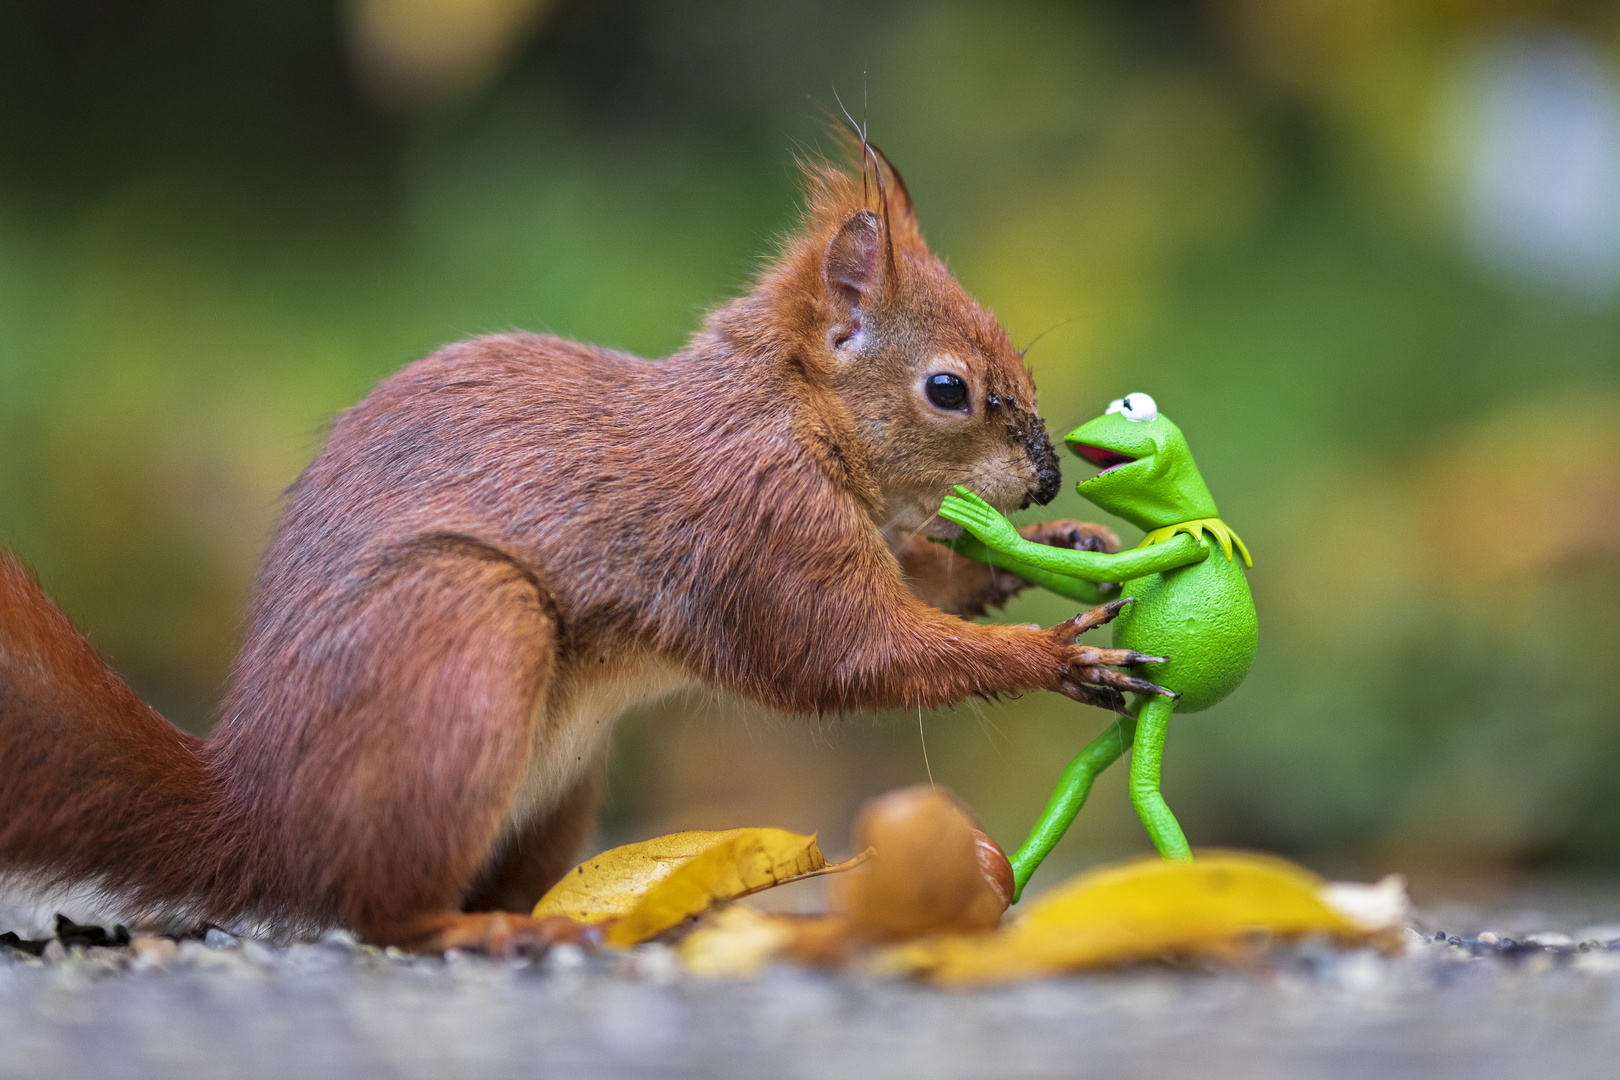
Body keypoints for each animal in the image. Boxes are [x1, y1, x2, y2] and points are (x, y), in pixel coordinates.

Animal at [3, 148, 1166, 952]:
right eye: (948, 390)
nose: (1048, 480)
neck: (787, 415)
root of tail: (261, 818)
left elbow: (921, 585)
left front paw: (1052, 547)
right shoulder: (755, 525)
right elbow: (845, 651)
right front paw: (1062, 654)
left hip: (563, 779)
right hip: (465, 631)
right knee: (379, 909)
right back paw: (477, 931)